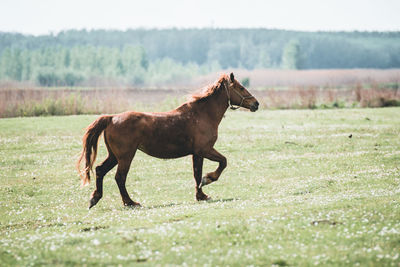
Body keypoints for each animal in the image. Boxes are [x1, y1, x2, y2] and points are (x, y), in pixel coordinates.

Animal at [77, 73, 260, 209]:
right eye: (241, 87)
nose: (256, 104)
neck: (202, 115)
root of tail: (112, 118)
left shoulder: (197, 153)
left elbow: (196, 173)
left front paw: (201, 195)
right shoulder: (205, 150)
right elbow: (223, 162)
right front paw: (208, 179)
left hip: (115, 156)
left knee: (100, 170)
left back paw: (95, 198)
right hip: (125, 157)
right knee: (120, 177)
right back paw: (130, 202)